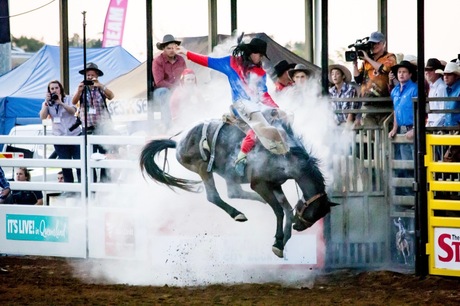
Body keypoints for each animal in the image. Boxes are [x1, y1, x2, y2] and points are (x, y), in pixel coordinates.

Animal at [138, 116, 336, 256]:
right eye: (313, 212)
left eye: (319, 215)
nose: (299, 227)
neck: (286, 157)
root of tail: (178, 142)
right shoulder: (260, 184)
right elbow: (279, 210)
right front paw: (279, 241)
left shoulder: (275, 185)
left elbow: (286, 209)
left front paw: (282, 240)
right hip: (203, 167)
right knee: (214, 196)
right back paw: (237, 214)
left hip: (227, 173)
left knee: (234, 192)